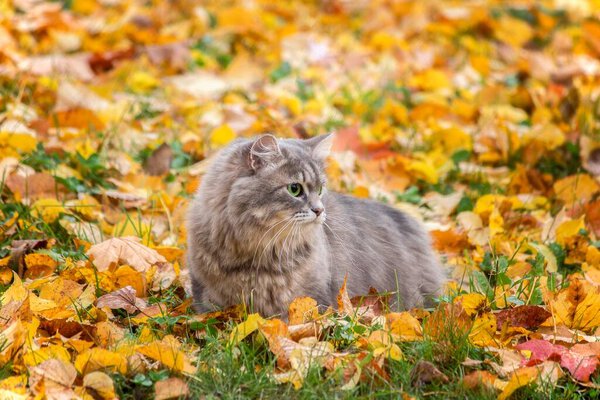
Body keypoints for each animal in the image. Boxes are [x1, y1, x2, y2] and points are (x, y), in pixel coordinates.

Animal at [188, 133, 446, 318]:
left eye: (320, 189)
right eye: (294, 189)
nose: (319, 210)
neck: (256, 257)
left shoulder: (315, 300)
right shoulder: (207, 299)